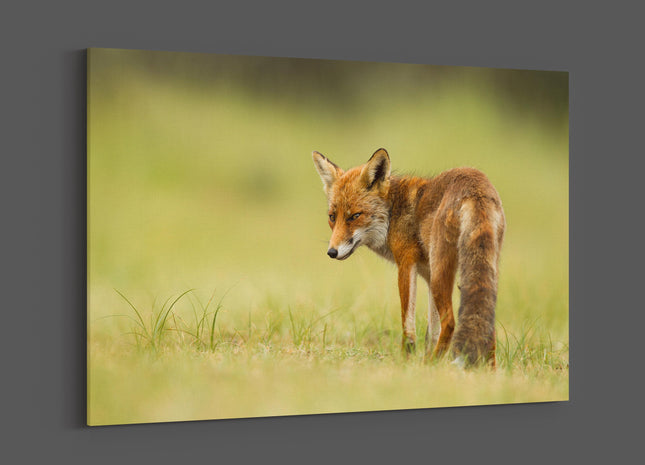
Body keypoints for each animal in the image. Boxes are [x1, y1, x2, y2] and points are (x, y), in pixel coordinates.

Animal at [312, 148, 505, 367]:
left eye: (355, 216)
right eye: (332, 217)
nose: (332, 252)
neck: (393, 212)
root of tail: (476, 184)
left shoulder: (406, 263)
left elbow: (408, 323)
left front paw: (407, 359)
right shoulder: (427, 275)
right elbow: (432, 331)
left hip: (441, 275)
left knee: (450, 321)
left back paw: (432, 363)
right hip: (477, 273)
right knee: (487, 324)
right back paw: (488, 370)